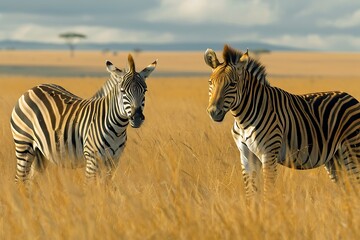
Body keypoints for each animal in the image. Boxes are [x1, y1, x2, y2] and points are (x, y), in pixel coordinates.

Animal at [10, 54, 157, 184]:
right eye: (122, 91)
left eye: (145, 90)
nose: (136, 118)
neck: (118, 128)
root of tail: (31, 90)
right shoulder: (92, 159)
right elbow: (90, 186)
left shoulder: (113, 161)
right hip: (24, 144)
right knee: (20, 179)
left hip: (40, 153)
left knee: (32, 180)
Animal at [204, 44, 360, 200]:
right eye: (210, 82)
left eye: (232, 84)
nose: (213, 112)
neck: (243, 120)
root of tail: (350, 97)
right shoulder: (246, 156)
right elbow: (251, 194)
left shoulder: (268, 154)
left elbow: (268, 191)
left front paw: (269, 207)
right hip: (335, 158)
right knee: (348, 189)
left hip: (352, 149)